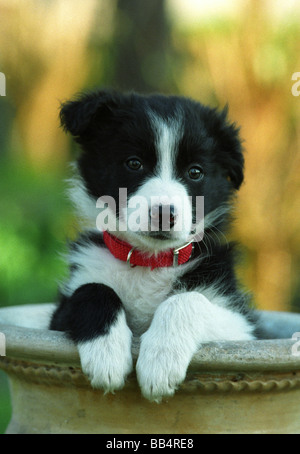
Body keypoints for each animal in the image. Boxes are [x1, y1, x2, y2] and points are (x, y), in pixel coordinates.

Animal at [50, 90, 256, 402]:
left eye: (195, 172)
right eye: (134, 163)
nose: (163, 213)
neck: (149, 261)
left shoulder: (241, 328)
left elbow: (185, 300)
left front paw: (160, 361)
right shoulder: (60, 311)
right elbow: (94, 289)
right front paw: (107, 356)